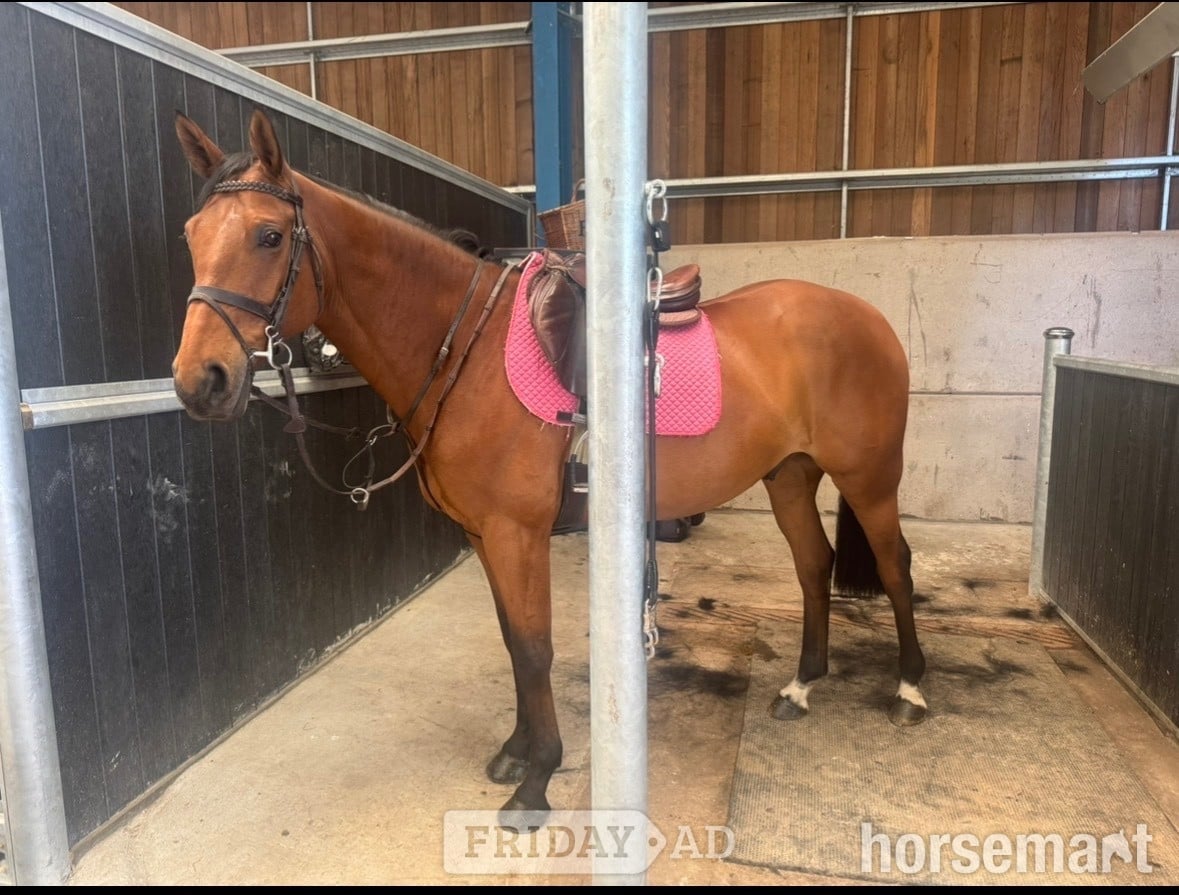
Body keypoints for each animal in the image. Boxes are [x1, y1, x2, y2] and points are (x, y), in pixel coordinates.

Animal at [170, 109, 926, 821]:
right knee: (814, 564)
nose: (199, 381)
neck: (463, 352)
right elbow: (513, 641)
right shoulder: (483, 534)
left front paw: (536, 782)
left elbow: (535, 648)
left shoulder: (517, 533)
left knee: (894, 565)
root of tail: (866, 316)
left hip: (868, 478)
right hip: (790, 474)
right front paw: (516, 751)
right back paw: (801, 686)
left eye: (269, 236)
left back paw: (910, 688)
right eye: (191, 235)